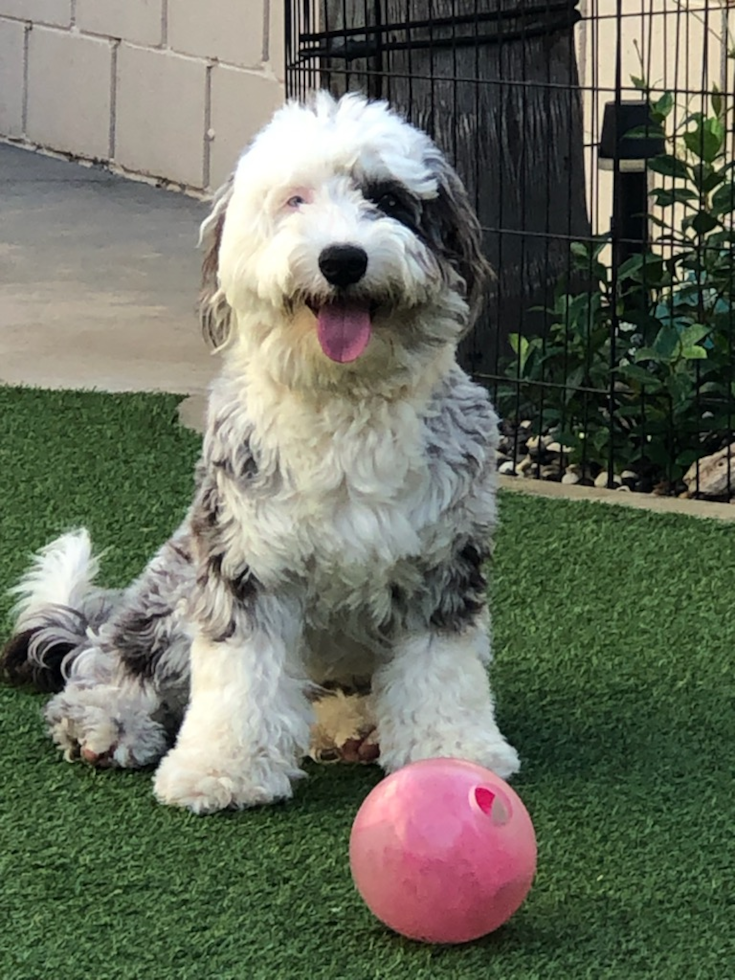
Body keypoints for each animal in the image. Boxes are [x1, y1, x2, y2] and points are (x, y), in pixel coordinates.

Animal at [1, 90, 516, 812]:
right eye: (295, 200)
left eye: (387, 199)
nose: (342, 260)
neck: (343, 402)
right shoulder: (244, 564)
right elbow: (240, 680)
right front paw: (220, 771)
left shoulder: (443, 566)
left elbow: (441, 671)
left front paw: (454, 753)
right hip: (175, 584)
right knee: (114, 658)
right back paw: (107, 721)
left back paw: (350, 728)